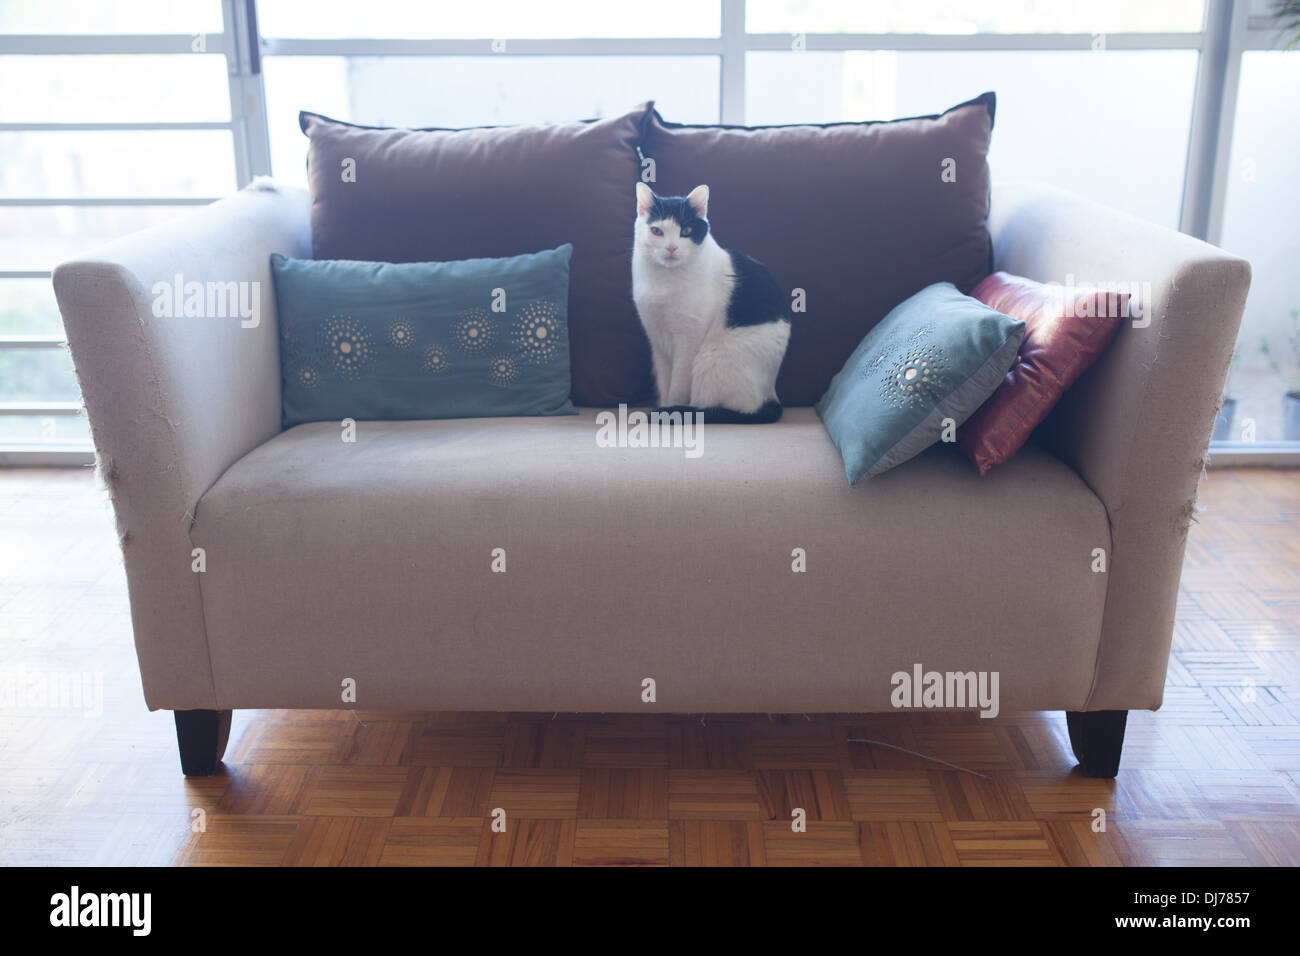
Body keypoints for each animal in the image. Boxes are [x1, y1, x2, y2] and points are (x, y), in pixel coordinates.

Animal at [631, 183, 790, 421]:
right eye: (657, 231)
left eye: (686, 231)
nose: (671, 248)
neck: (665, 281)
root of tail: (771, 397)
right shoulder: (657, 341)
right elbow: (664, 382)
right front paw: (665, 405)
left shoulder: (688, 340)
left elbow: (677, 385)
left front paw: (669, 411)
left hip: (712, 358)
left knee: (718, 408)